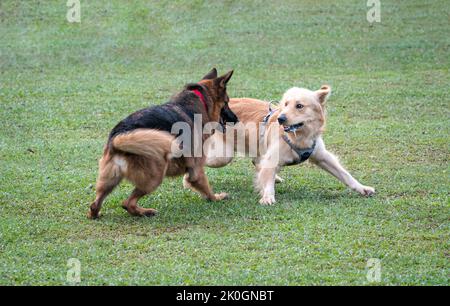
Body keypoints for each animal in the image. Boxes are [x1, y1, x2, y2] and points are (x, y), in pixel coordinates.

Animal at [87, 68, 236, 219]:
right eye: (227, 102)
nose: (236, 119)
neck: (202, 101)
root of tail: (118, 136)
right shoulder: (196, 169)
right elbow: (206, 189)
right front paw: (217, 197)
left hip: (110, 179)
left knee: (94, 205)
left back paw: (98, 214)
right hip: (155, 177)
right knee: (127, 203)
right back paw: (146, 212)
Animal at [206, 85, 374, 206]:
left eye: (299, 106)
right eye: (286, 104)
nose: (280, 118)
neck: (299, 137)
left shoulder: (322, 156)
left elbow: (345, 175)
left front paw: (362, 188)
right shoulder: (272, 158)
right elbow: (267, 180)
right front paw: (267, 197)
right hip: (222, 156)